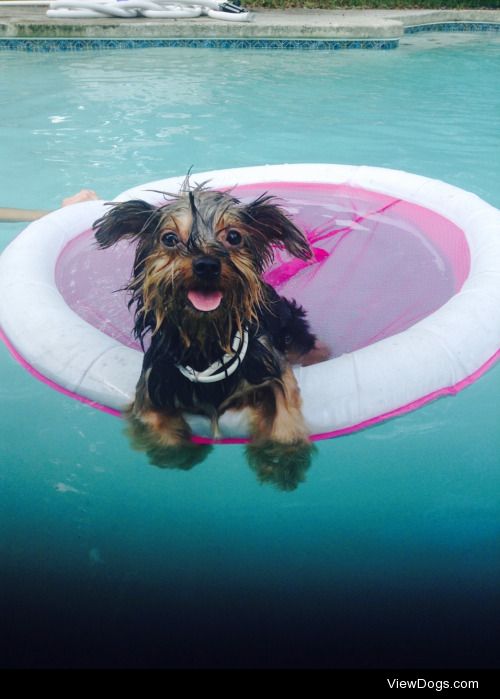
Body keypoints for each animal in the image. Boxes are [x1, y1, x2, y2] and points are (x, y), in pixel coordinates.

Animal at [94, 186, 328, 492]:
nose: (206, 264)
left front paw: (282, 457)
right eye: (169, 239)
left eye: (233, 236)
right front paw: (177, 452)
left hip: (289, 324)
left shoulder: (270, 367)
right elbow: (153, 422)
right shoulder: (151, 386)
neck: (205, 338)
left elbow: (283, 403)